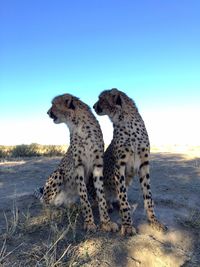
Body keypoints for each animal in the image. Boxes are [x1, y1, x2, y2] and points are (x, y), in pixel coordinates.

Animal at [36, 95, 118, 233]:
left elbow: (101, 195)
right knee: (45, 201)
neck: (79, 125)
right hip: (58, 174)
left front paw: (106, 222)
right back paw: (53, 211)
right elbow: (84, 197)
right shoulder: (79, 167)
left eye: (53, 104)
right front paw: (89, 222)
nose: (47, 112)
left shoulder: (97, 165)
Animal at [94, 89, 167, 236]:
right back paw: (109, 206)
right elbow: (123, 198)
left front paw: (154, 221)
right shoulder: (119, 166)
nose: (93, 106)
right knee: (102, 198)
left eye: (101, 99)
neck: (126, 121)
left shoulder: (144, 164)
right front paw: (127, 225)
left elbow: (148, 197)